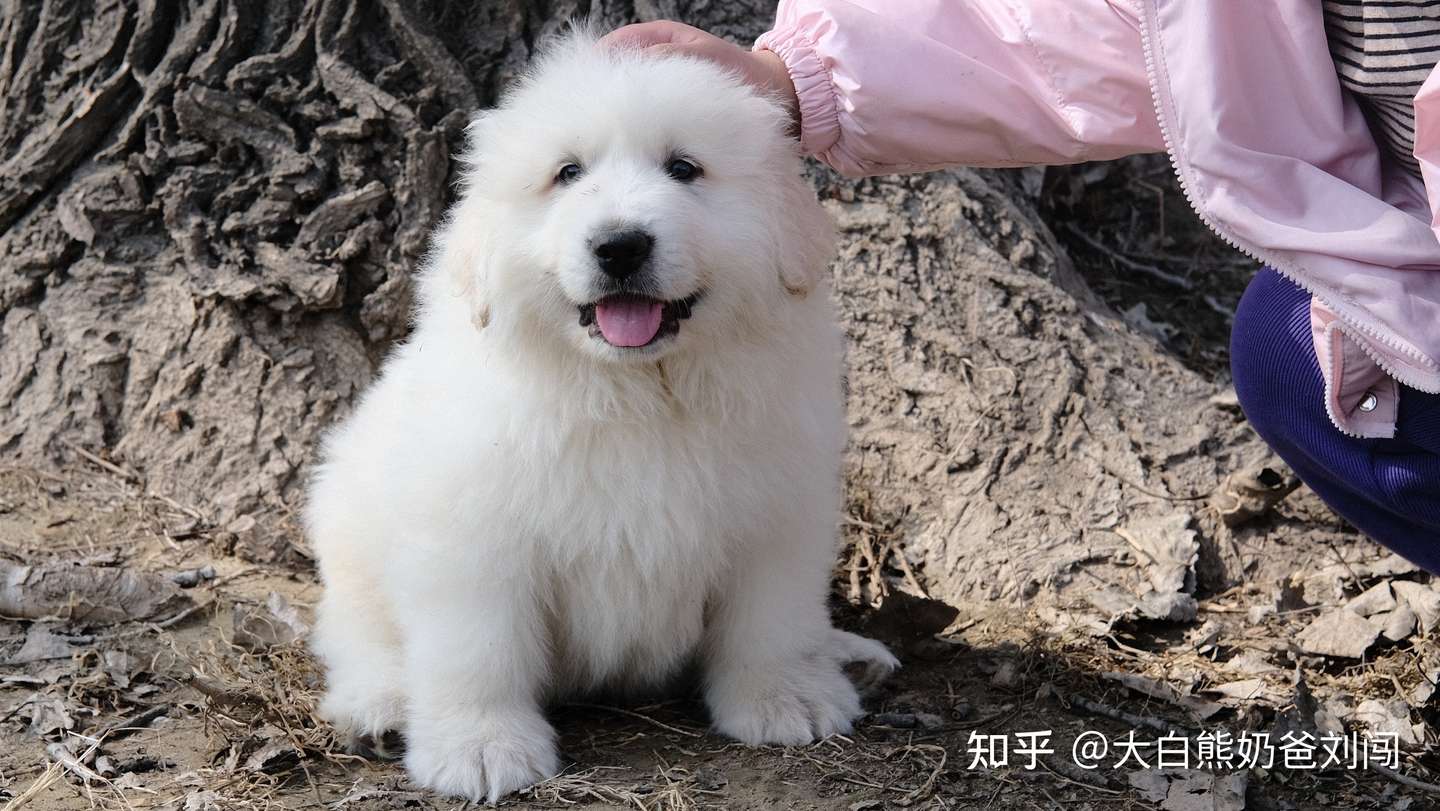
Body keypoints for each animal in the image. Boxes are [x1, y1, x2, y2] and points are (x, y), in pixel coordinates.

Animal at [306, 27, 887, 806]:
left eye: (684, 168)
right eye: (567, 173)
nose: (620, 245)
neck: (635, 390)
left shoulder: (776, 511)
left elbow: (771, 618)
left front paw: (786, 697)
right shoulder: (471, 535)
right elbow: (477, 648)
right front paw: (481, 747)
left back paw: (850, 654)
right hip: (347, 519)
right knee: (353, 631)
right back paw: (380, 701)